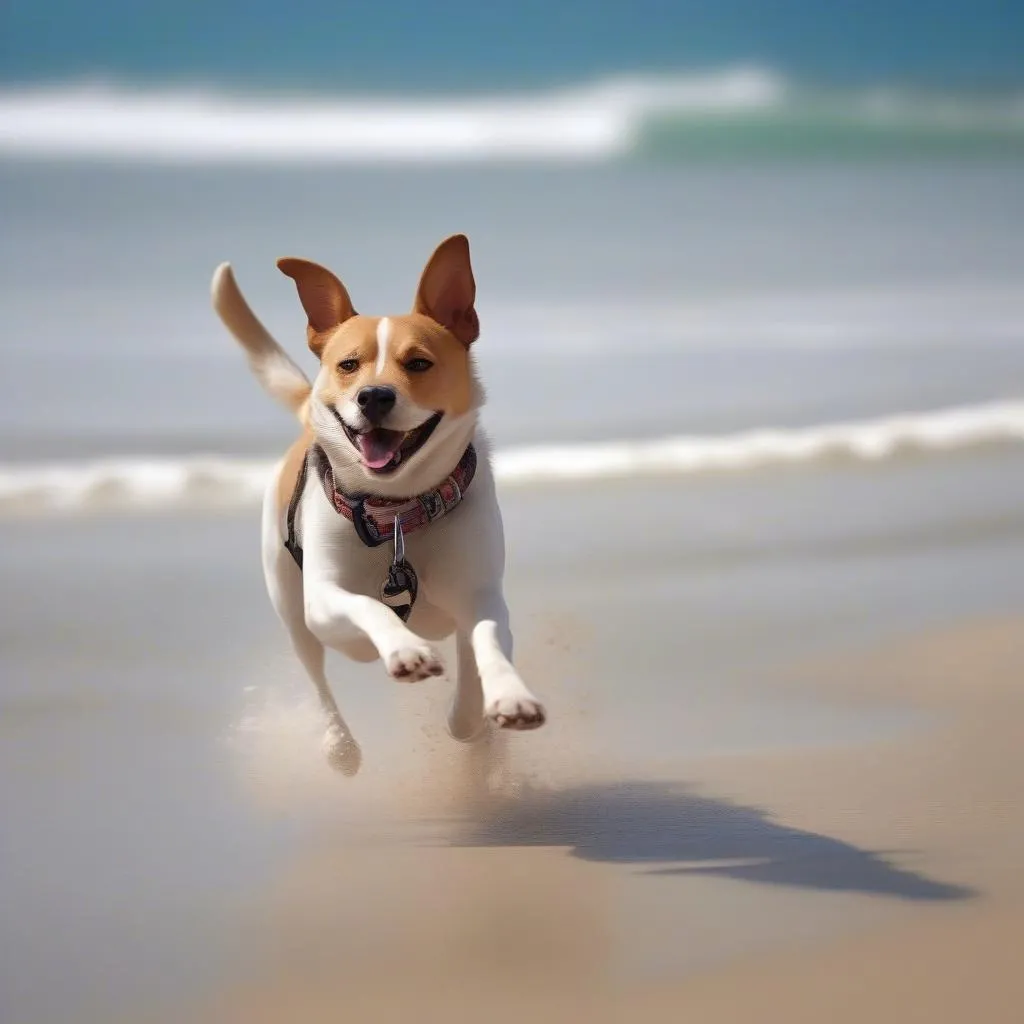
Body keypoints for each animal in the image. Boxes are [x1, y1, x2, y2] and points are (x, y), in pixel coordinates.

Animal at [207, 234, 544, 774]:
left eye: (419, 363)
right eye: (349, 364)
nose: (373, 396)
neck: (398, 512)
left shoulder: (481, 594)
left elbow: (486, 642)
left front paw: (502, 702)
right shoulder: (325, 599)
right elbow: (369, 607)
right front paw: (406, 650)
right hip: (293, 610)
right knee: (319, 674)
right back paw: (339, 744)